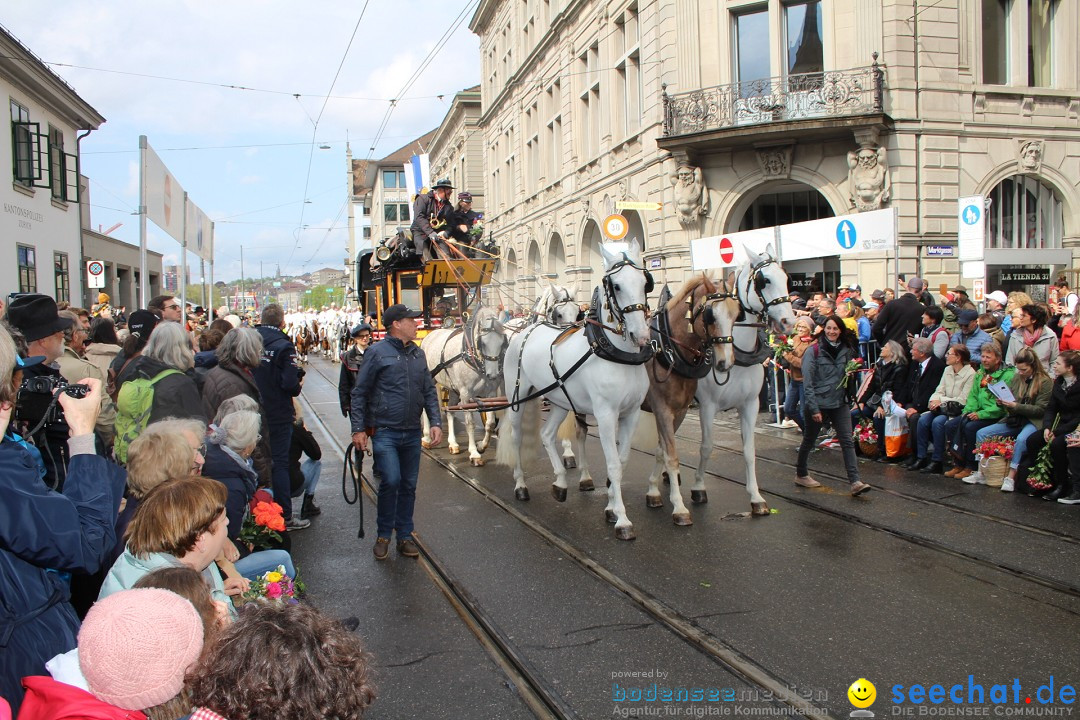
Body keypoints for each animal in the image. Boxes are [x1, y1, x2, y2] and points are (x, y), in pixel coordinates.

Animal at [419, 306, 507, 464]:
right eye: (482, 343)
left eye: (502, 342)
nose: (492, 374)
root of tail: (430, 335)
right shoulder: (466, 394)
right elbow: (470, 424)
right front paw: (474, 453)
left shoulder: (490, 394)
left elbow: (490, 422)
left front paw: (482, 446)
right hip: (430, 380)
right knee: (426, 408)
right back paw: (427, 437)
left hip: (453, 388)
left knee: (450, 410)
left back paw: (453, 443)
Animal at [494, 240, 648, 539]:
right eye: (616, 285)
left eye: (646, 282)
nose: (642, 335)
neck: (615, 354)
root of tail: (525, 330)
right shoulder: (606, 414)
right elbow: (613, 463)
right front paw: (622, 519)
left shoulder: (632, 413)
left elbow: (622, 461)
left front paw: (610, 508)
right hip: (518, 395)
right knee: (517, 437)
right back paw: (520, 485)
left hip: (558, 401)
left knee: (546, 434)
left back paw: (561, 484)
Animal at [643, 273, 738, 526]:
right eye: (710, 315)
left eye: (737, 314)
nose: (725, 363)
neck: (669, 350)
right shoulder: (662, 409)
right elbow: (672, 457)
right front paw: (679, 507)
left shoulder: (680, 411)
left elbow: (661, 451)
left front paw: (653, 491)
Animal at [686, 245, 799, 515]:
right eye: (763, 280)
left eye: (786, 278)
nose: (789, 322)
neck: (736, 355)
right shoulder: (708, 406)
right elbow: (706, 447)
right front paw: (698, 487)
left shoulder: (750, 405)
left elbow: (749, 450)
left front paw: (756, 497)